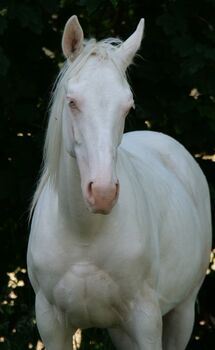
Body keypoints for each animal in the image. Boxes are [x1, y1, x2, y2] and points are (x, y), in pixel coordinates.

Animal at [27, 16, 212, 350]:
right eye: (72, 102)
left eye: (128, 107)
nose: (102, 193)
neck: (84, 233)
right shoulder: (51, 323)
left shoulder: (146, 320)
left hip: (182, 313)